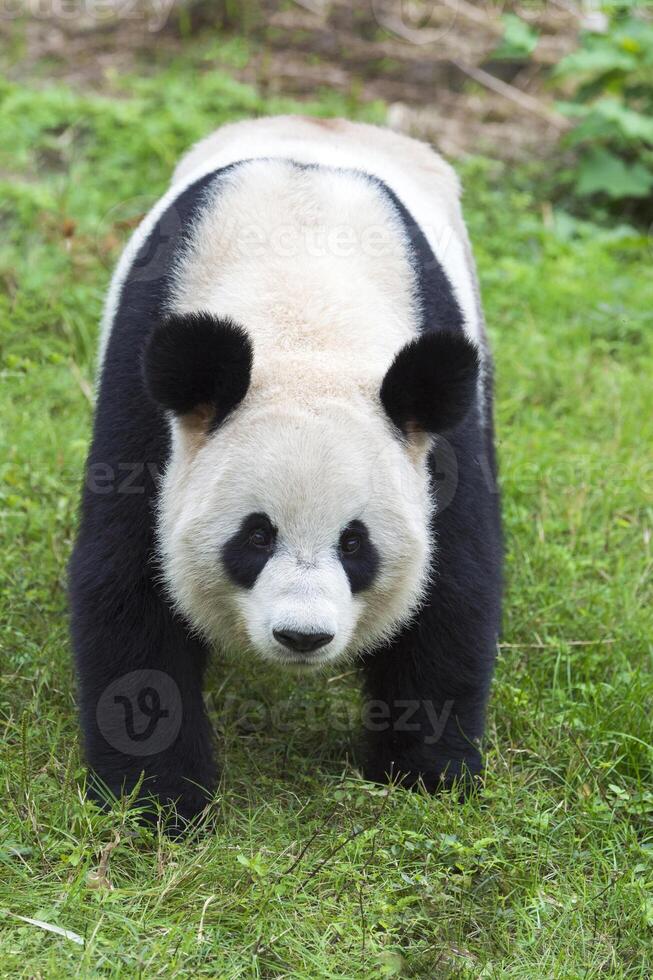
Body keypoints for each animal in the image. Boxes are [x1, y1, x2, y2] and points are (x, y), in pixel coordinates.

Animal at [69, 115, 500, 824]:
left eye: (355, 543)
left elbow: (453, 584)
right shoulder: (143, 403)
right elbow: (129, 577)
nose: (303, 636)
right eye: (256, 535)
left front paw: (426, 774)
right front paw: (159, 796)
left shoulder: (441, 439)